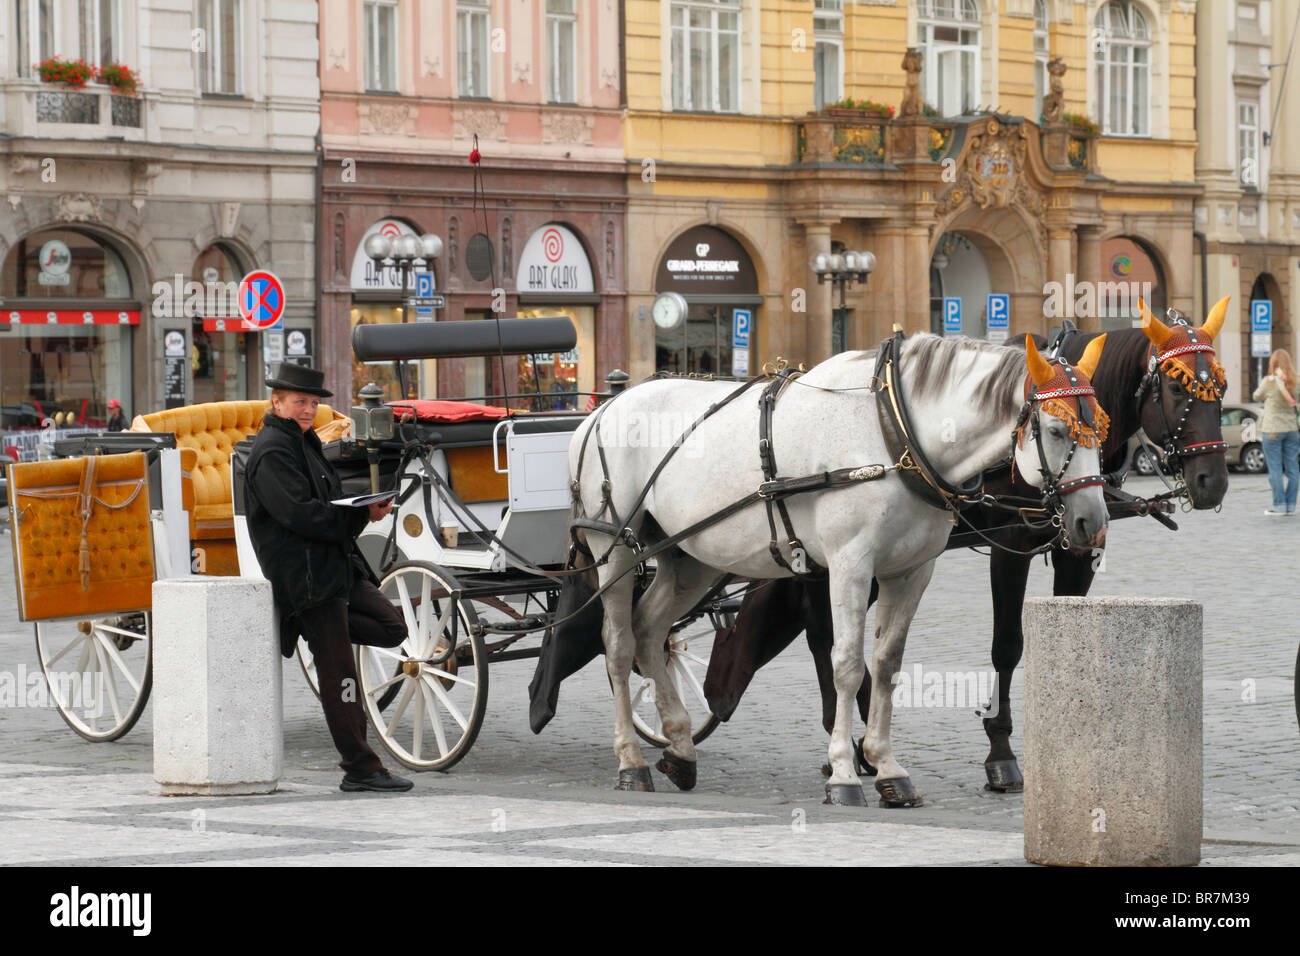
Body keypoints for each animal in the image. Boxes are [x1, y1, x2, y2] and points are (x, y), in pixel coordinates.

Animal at [569, 335, 1107, 806]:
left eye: (1100, 431)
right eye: (1056, 431)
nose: (1093, 522)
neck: (893, 432)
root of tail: (601, 411)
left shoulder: (912, 571)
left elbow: (887, 665)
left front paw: (886, 768)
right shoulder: (850, 565)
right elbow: (846, 664)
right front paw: (845, 774)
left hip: (690, 558)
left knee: (649, 631)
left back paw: (680, 749)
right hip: (615, 551)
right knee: (618, 645)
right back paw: (631, 761)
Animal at [696, 304, 1232, 790]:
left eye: (1221, 391)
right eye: (1178, 388)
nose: (1213, 481)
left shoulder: (1078, 550)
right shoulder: (1010, 545)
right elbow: (1007, 645)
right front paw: (1001, 752)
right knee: (820, 632)